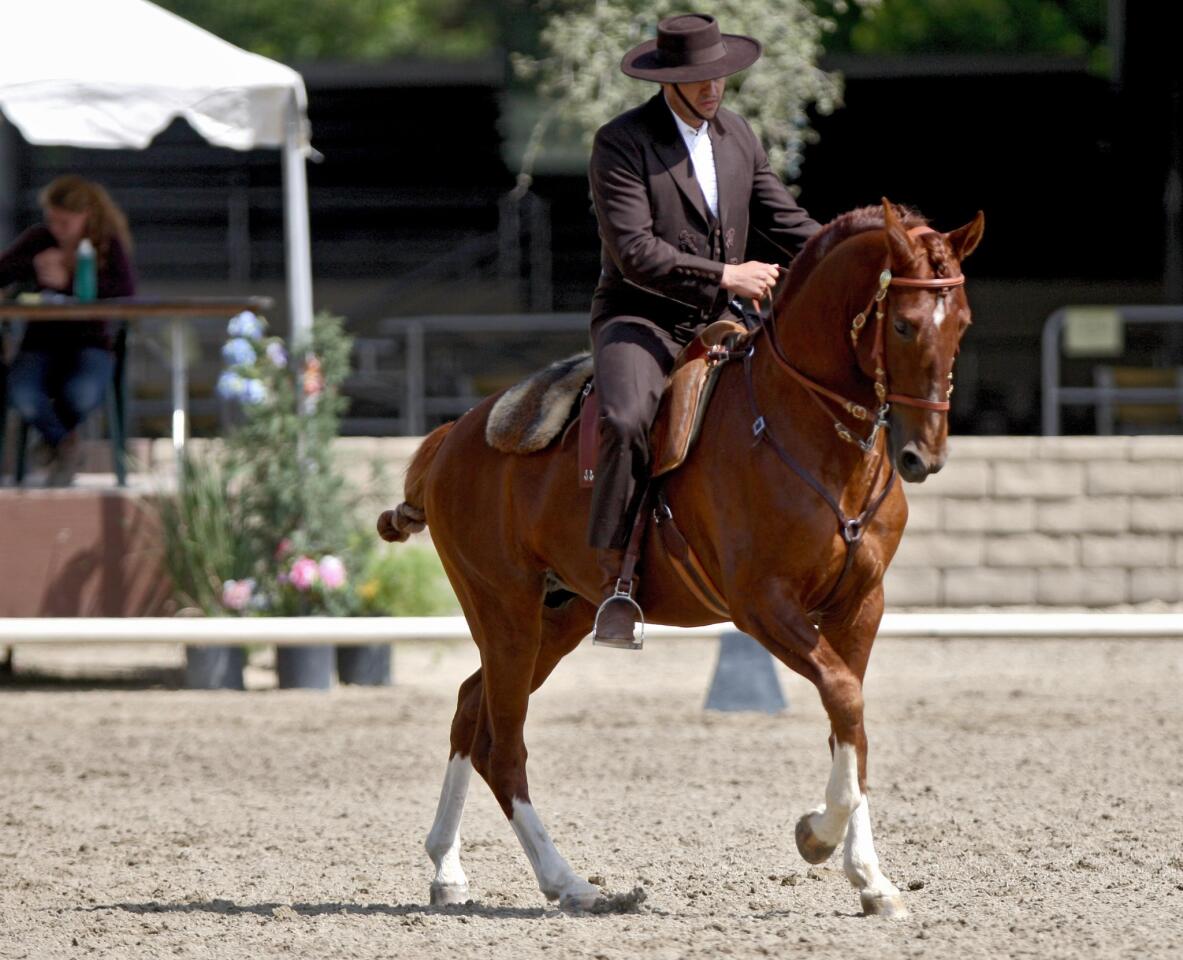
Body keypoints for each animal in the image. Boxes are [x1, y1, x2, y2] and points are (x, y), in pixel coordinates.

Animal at [376, 198, 979, 918]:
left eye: (962, 324)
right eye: (906, 324)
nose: (924, 456)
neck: (814, 436)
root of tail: (455, 433)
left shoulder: (860, 605)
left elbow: (849, 721)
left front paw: (870, 879)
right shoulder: (761, 604)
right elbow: (842, 698)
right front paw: (816, 835)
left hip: (561, 615)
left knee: (472, 709)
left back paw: (448, 869)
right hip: (505, 611)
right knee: (503, 746)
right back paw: (569, 883)